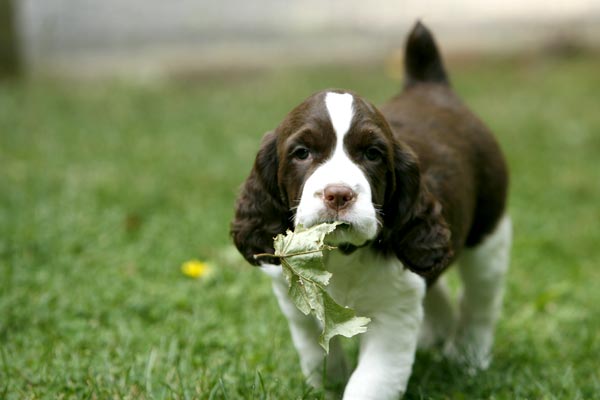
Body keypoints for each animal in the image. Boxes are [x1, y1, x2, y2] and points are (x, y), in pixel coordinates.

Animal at [230, 22, 510, 400]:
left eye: (372, 154)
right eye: (302, 152)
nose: (338, 195)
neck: (340, 255)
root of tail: (430, 87)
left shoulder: (392, 318)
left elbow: (371, 381)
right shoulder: (296, 302)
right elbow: (315, 350)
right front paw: (325, 385)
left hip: (489, 234)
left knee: (480, 299)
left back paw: (468, 355)